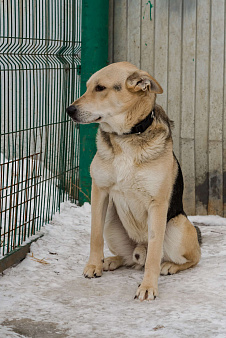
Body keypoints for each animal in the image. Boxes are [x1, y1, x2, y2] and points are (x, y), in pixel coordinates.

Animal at [66, 61, 201, 302]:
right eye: (88, 86)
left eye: (100, 88)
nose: (68, 110)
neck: (126, 137)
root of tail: (140, 248)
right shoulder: (100, 191)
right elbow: (95, 235)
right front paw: (94, 265)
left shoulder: (157, 204)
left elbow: (155, 252)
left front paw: (148, 286)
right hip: (111, 220)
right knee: (130, 259)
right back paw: (111, 260)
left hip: (177, 227)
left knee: (191, 258)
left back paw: (170, 265)